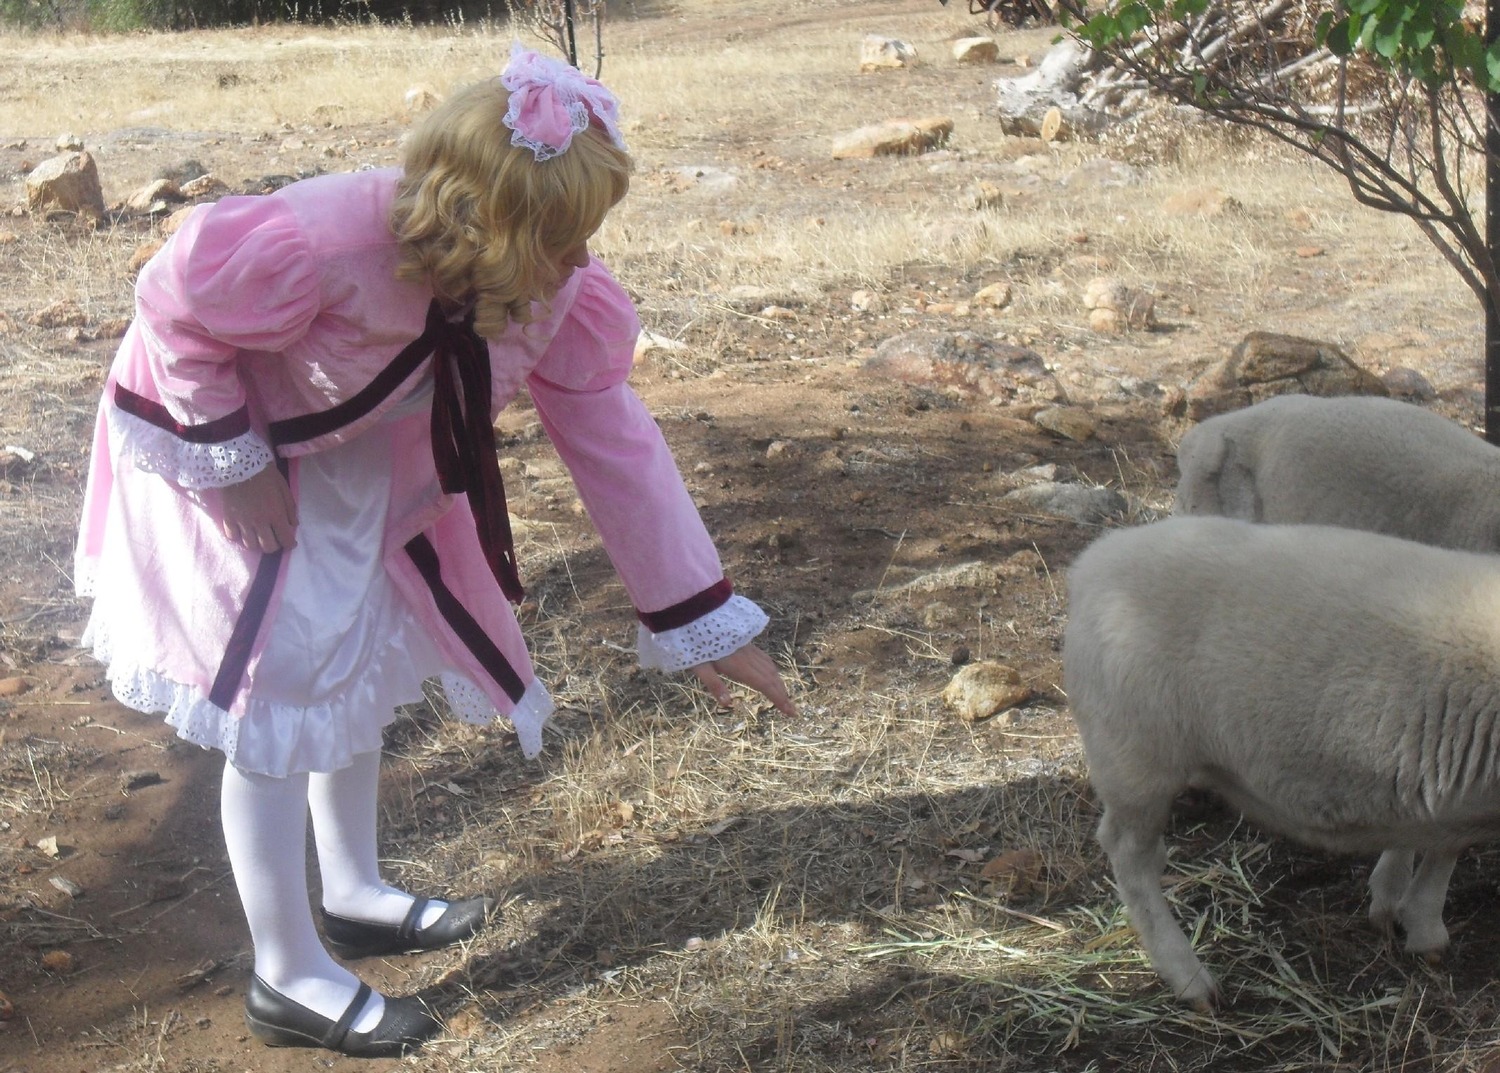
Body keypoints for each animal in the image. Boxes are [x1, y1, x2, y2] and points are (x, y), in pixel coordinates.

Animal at [1062, 516, 1500, 1014]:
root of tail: (1091, 563)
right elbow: (1449, 842)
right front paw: (1421, 923)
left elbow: (1445, 839)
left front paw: (1410, 915)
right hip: (1136, 754)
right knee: (1129, 855)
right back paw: (1189, 976)